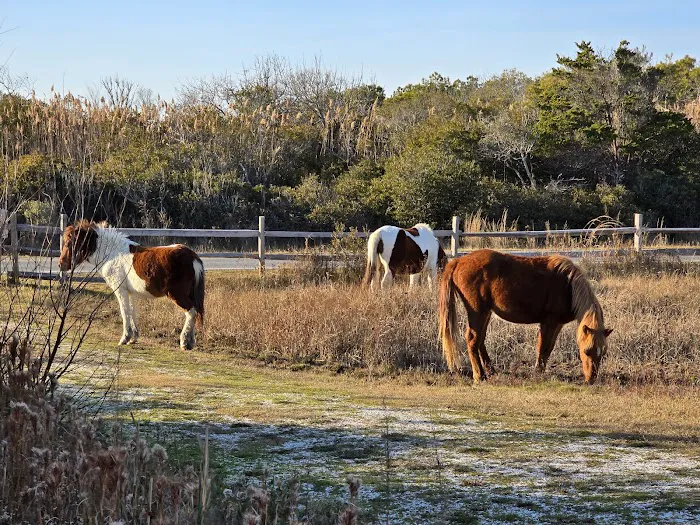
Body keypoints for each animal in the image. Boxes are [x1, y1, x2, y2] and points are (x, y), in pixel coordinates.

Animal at [58, 220, 205, 350]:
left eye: (69, 243)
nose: (61, 264)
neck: (112, 254)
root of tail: (193, 258)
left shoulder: (120, 290)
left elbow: (124, 312)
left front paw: (125, 338)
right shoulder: (130, 292)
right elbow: (132, 312)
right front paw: (133, 338)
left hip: (177, 295)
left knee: (191, 312)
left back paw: (184, 342)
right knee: (195, 312)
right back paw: (191, 341)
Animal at [438, 249, 612, 384]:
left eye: (603, 353)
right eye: (587, 351)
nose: (591, 380)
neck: (568, 286)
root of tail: (458, 261)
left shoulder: (557, 324)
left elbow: (549, 348)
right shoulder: (548, 322)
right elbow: (543, 347)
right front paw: (538, 372)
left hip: (486, 312)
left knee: (480, 340)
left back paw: (490, 371)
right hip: (477, 311)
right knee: (473, 339)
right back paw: (479, 375)